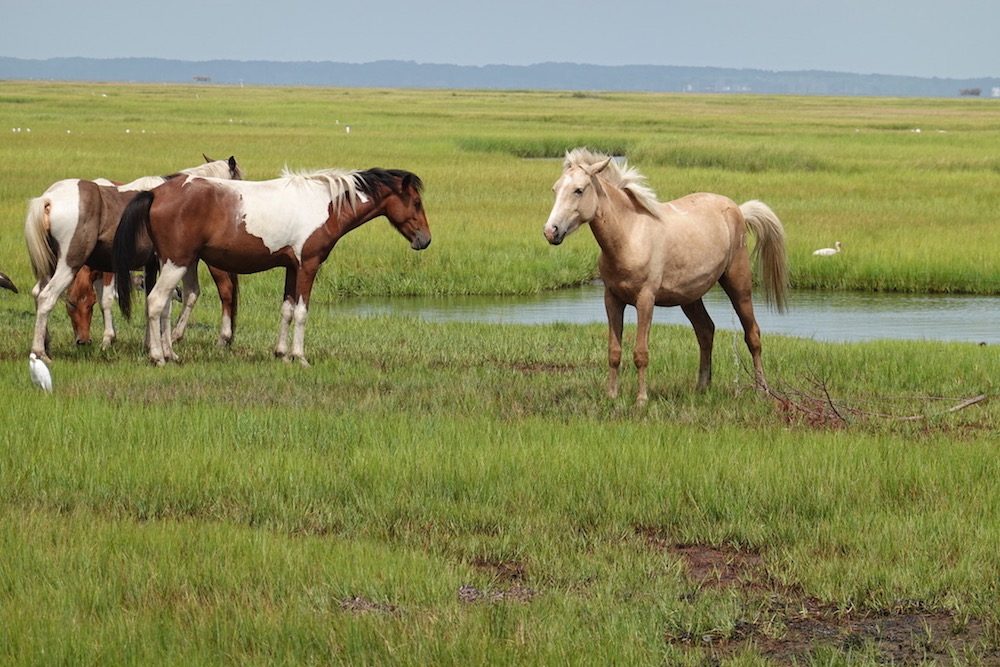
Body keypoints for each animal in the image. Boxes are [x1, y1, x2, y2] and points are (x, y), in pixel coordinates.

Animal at [24, 155, 243, 360]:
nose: (82, 341)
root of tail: (48, 200)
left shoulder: (145, 266)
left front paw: (149, 344)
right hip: (68, 263)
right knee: (45, 297)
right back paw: (40, 351)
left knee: (38, 293)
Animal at [114, 167, 434, 366]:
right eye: (416, 203)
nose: (425, 240)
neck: (325, 204)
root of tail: (156, 192)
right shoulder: (308, 266)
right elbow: (302, 312)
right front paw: (300, 357)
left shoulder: (291, 268)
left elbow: (287, 310)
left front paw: (282, 353)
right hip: (176, 263)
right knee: (156, 303)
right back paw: (158, 357)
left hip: (174, 264)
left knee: (165, 307)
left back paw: (170, 354)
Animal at [544, 148, 784, 404]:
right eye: (555, 189)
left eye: (579, 190)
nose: (551, 231)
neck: (630, 235)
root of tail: (738, 209)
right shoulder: (612, 299)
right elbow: (614, 352)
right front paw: (611, 395)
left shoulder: (645, 300)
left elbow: (640, 353)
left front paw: (641, 400)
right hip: (690, 298)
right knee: (706, 331)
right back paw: (702, 387)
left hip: (739, 286)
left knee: (753, 335)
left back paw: (762, 390)